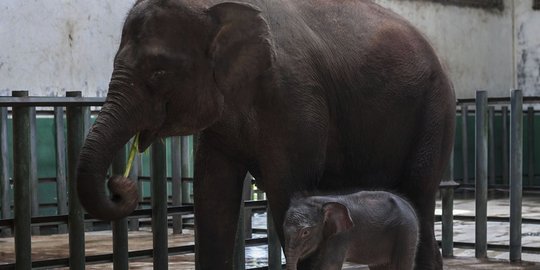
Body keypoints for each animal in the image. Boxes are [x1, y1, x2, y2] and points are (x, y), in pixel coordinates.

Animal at [284, 191, 420, 268]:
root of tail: (410, 207)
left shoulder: (341, 236)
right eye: (283, 229)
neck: (319, 203)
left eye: (305, 232)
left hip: (407, 232)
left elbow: (329, 265)